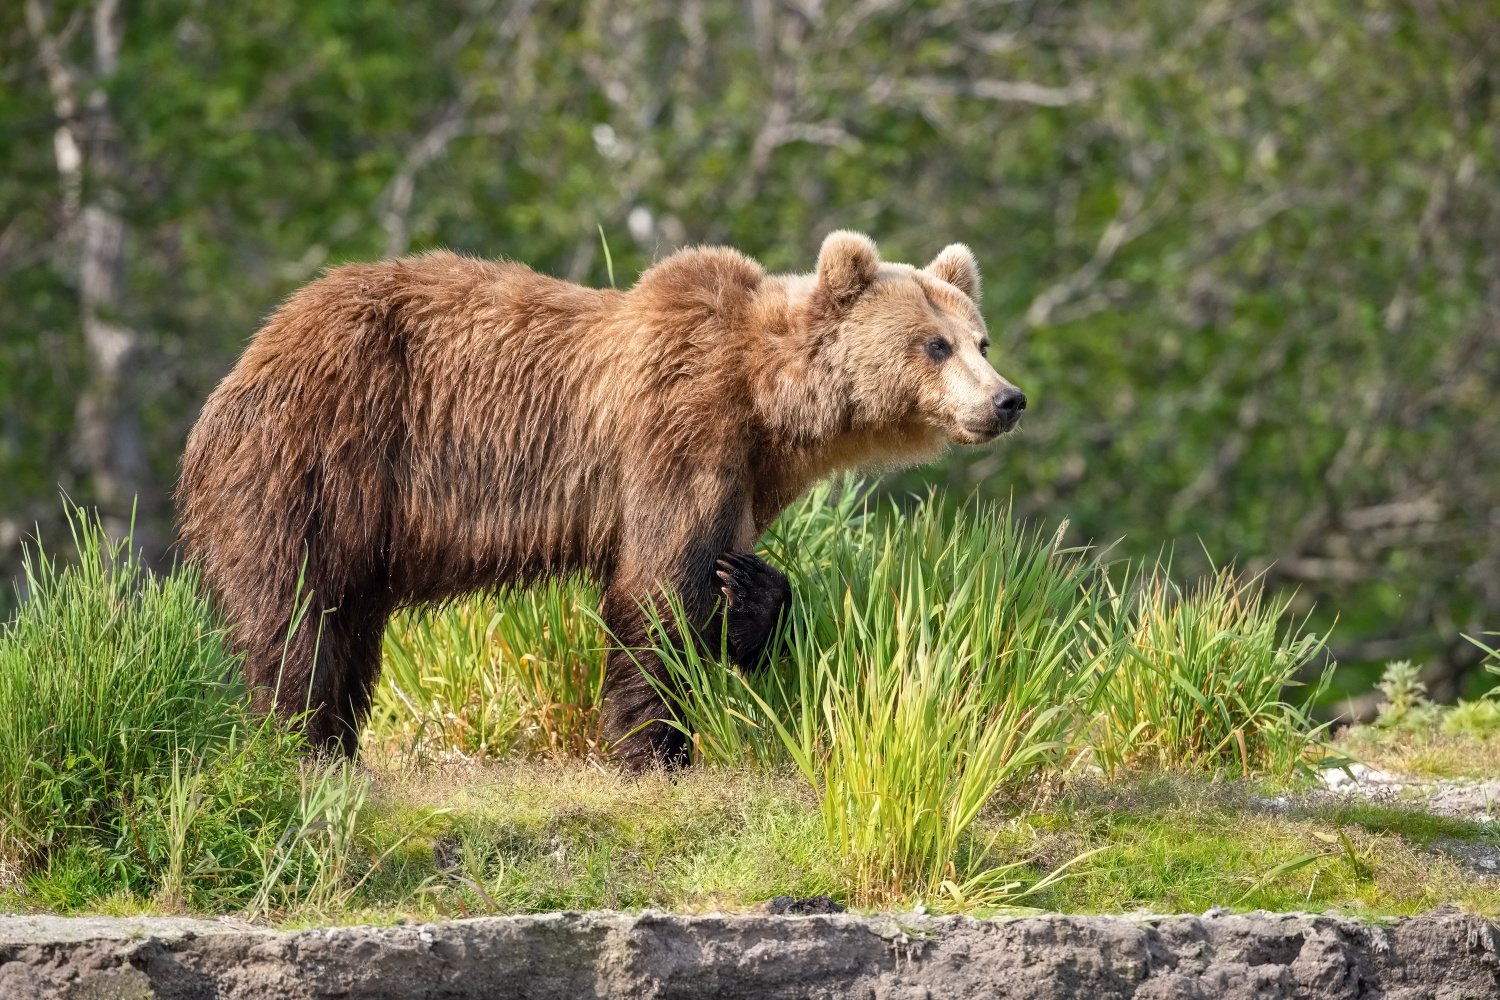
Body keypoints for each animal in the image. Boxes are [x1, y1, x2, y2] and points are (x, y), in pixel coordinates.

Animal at [172, 232, 1020, 767]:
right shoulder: (677, 431)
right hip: (316, 456)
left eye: (981, 340)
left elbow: (729, 581)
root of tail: (252, 356)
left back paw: (339, 746)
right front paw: (656, 747)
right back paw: (300, 741)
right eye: (934, 344)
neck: (766, 402)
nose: (1007, 399)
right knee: (295, 611)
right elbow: (658, 589)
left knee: (347, 622)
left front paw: (752, 588)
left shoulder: (748, 477)